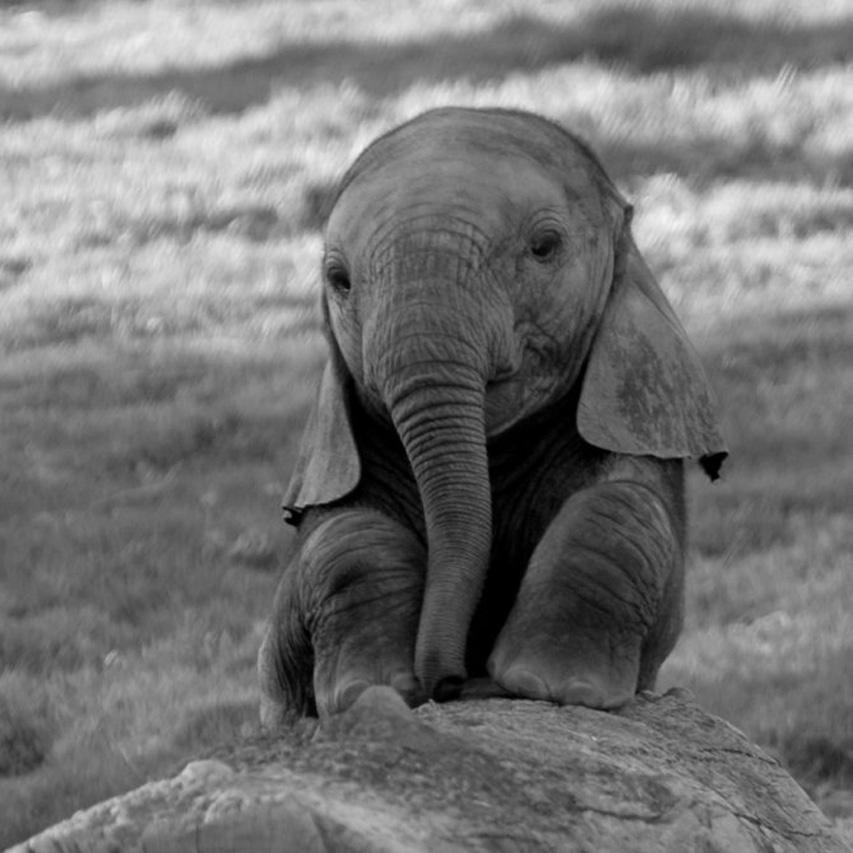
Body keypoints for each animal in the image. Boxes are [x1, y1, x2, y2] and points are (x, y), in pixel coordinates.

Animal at [258, 106, 726, 725]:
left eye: (545, 247)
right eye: (340, 280)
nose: (452, 681)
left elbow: (623, 508)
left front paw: (550, 685)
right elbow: (341, 537)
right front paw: (367, 693)